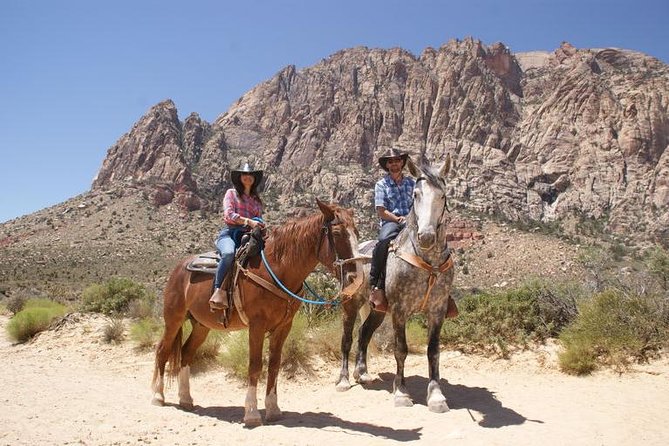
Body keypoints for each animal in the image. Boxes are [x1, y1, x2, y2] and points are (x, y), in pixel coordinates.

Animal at [152, 200, 360, 426]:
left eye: (357, 232)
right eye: (337, 233)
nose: (354, 277)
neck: (278, 269)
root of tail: (178, 268)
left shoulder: (283, 327)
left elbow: (275, 365)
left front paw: (273, 409)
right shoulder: (257, 325)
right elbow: (255, 366)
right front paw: (252, 413)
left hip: (201, 325)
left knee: (186, 353)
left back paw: (185, 399)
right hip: (174, 318)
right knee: (163, 350)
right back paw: (158, 396)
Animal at [334, 155, 454, 412]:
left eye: (442, 195)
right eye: (416, 194)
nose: (426, 237)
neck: (427, 263)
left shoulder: (437, 311)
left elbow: (433, 351)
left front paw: (436, 395)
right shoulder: (400, 310)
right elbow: (401, 350)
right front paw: (401, 392)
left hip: (378, 309)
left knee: (364, 332)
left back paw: (363, 373)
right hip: (350, 304)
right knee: (347, 339)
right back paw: (344, 380)